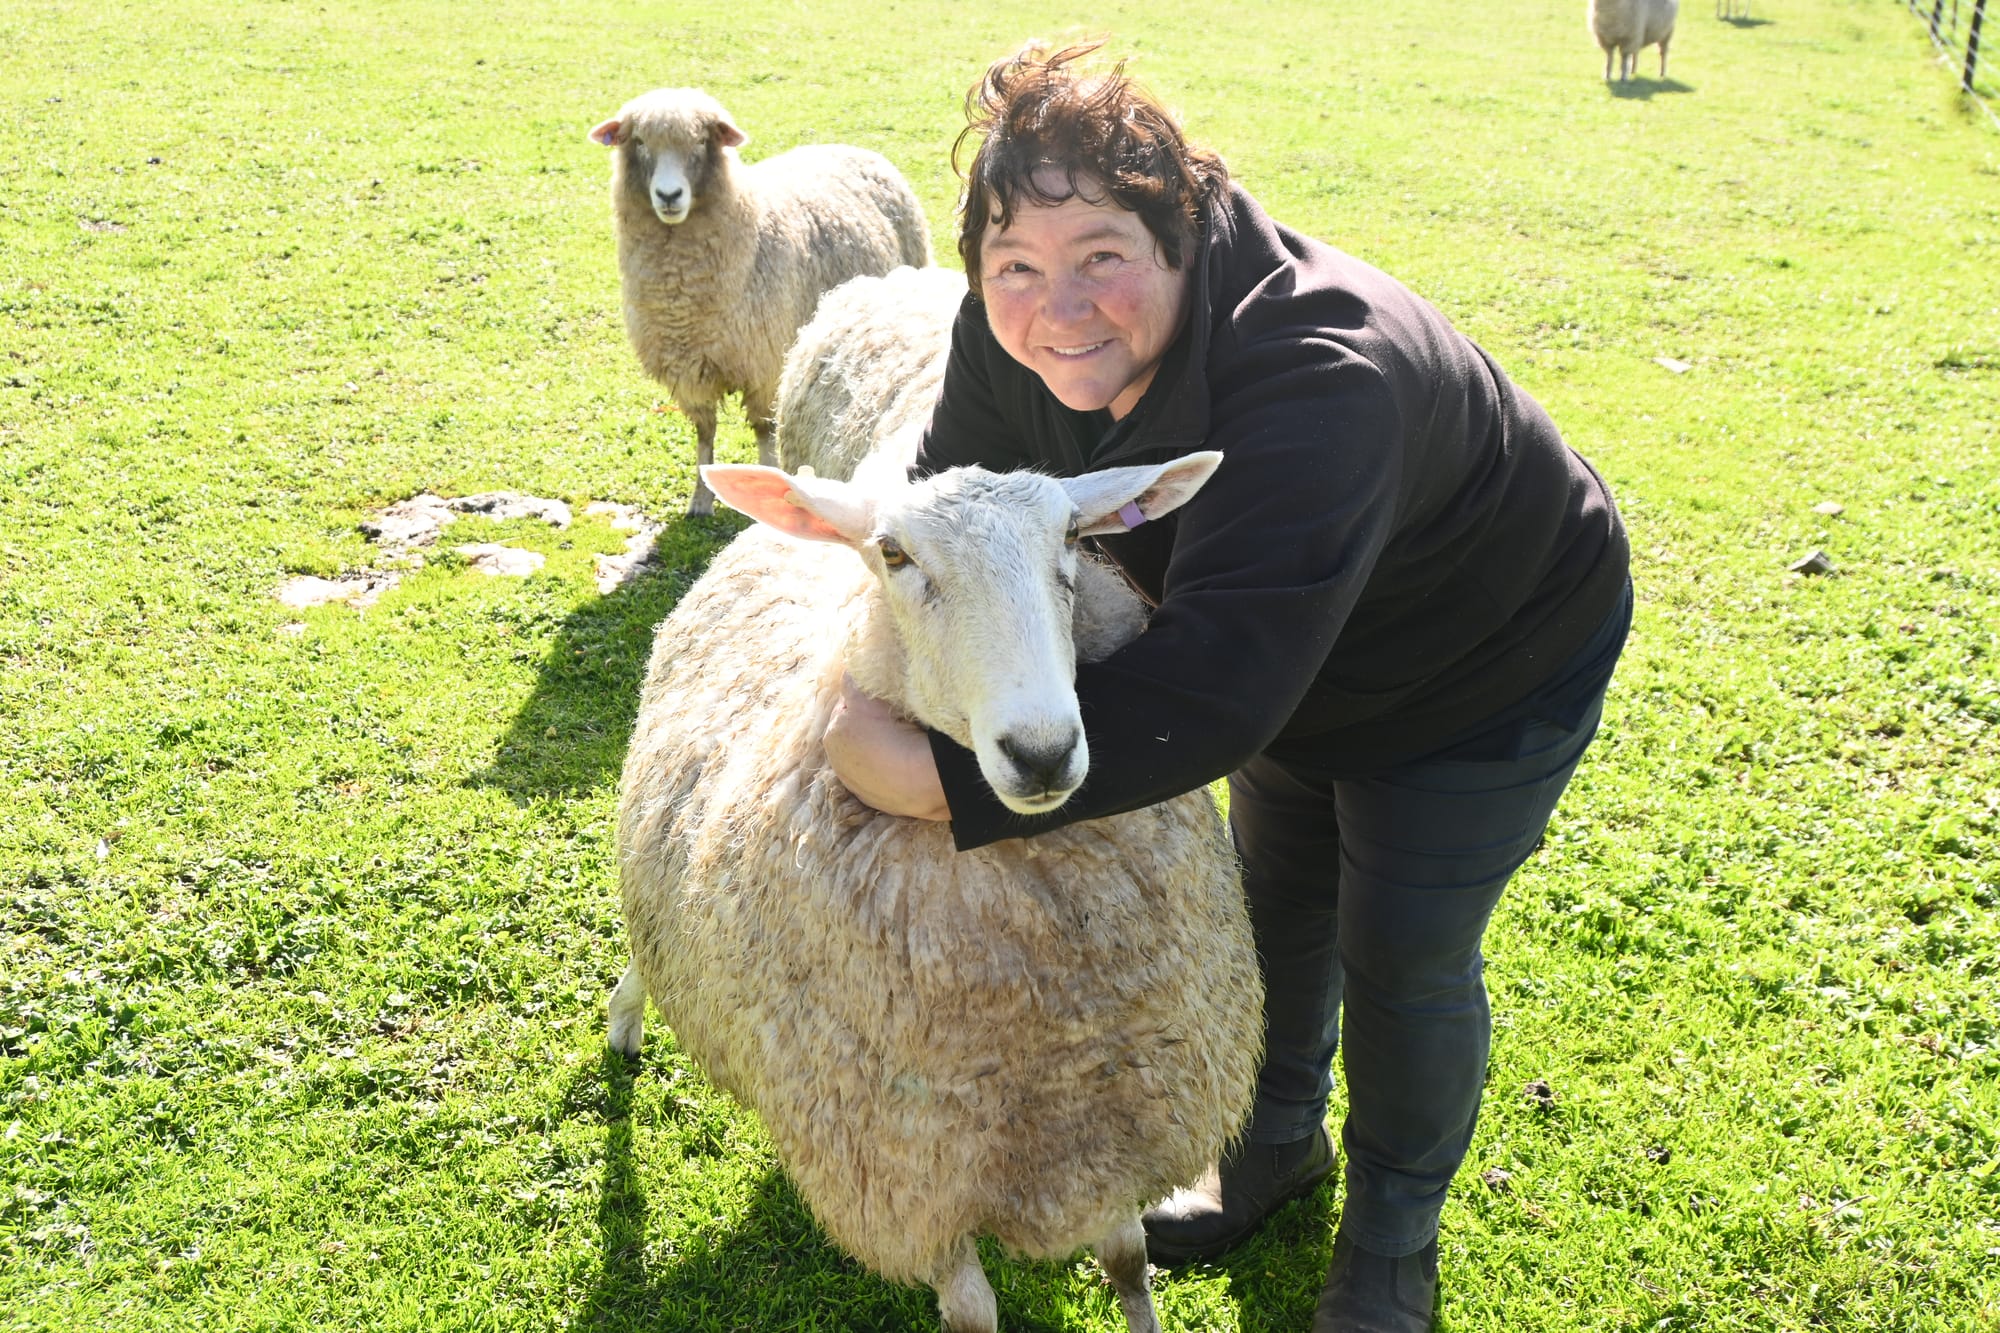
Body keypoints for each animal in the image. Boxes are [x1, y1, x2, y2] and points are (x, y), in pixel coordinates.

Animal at [589, 88, 933, 516]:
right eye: (638, 142)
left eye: (700, 141)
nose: (669, 195)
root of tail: (850, 147)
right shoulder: (690, 369)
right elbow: (705, 434)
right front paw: (700, 499)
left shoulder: (766, 362)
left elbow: (764, 430)